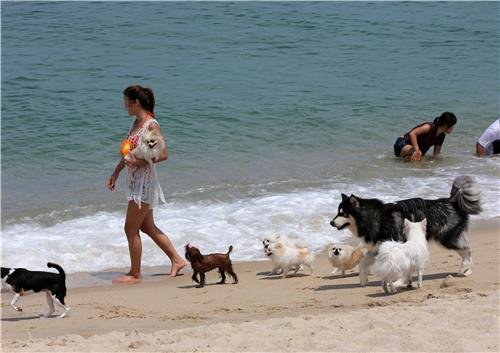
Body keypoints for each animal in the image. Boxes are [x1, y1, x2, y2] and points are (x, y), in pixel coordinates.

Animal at [332, 175, 480, 284]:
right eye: (338, 212)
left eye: (343, 214)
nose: (331, 222)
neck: (374, 217)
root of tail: (452, 200)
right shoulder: (377, 246)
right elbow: (363, 262)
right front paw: (363, 278)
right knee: (466, 249)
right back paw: (466, 269)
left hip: (447, 238)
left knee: (467, 249)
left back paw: (465, 268)